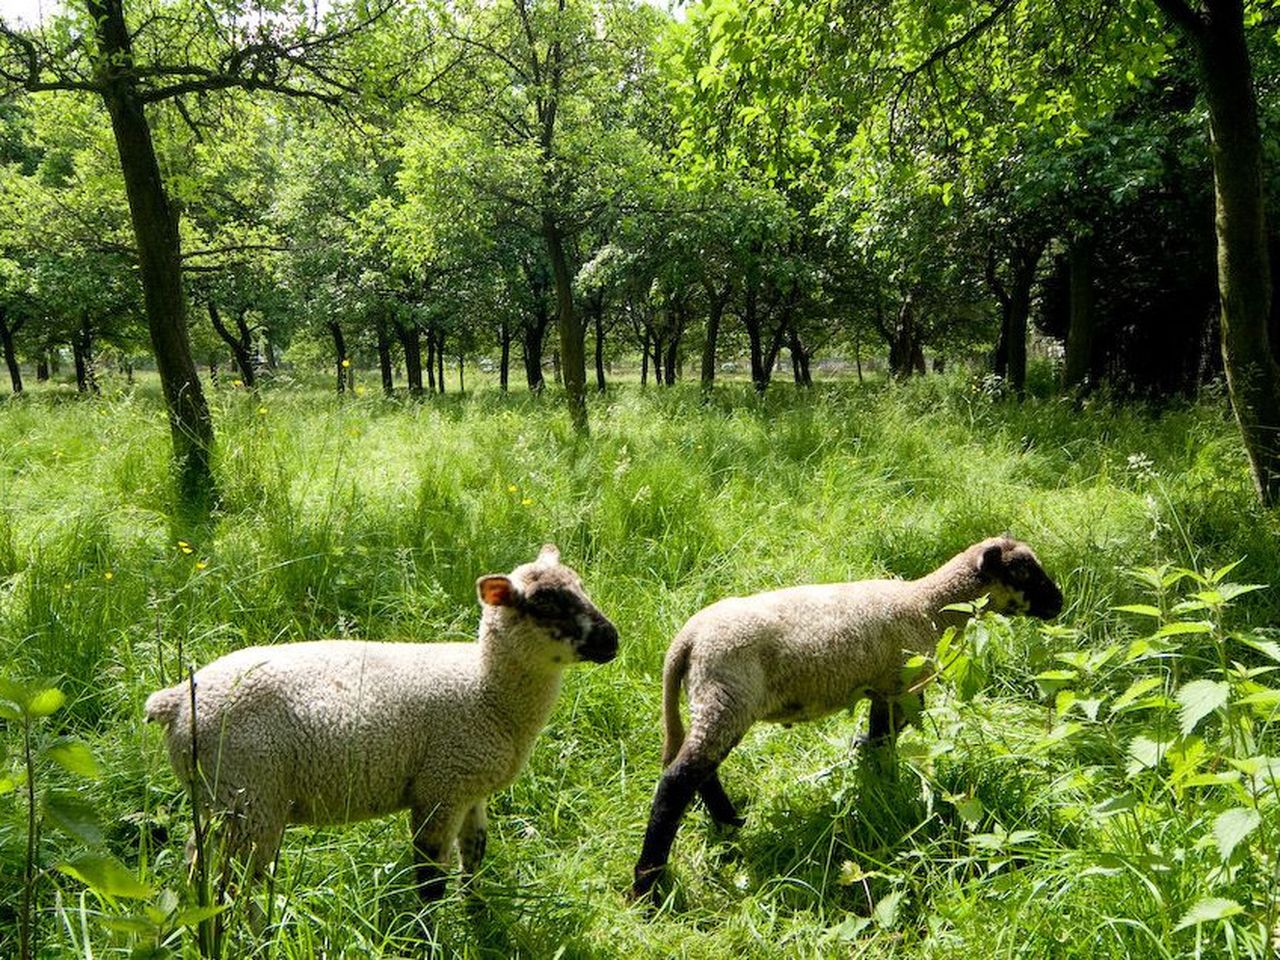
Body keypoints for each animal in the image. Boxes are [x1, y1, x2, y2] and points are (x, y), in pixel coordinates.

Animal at [147, 547, 616, 901]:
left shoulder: (471, 787)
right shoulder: (441, 788)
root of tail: (175, 701)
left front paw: (476, 911)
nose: (612, 640)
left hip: (216, 798)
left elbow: (474, 856)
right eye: (545, 604)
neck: (486, 693)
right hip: (249, 796)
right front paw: (428, 934)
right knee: (236, 883)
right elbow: (430, 877)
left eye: (581, 587)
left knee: (197, 863)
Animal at [629, 535, 1059, 901]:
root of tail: (686, 640)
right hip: (728, 696)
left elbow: (876, 742)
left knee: (699, 771)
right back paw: (647, 885)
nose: (1059, 602)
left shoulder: (884, 691)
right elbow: (885, 744)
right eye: (1024, 572)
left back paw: (731, 823)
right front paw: (890, 791)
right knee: (678, 780)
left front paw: (878, 784)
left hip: (713, 699)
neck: (928, 606)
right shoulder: (900, 689)